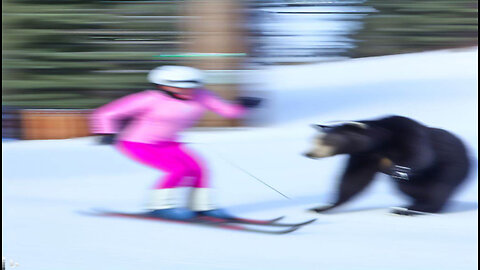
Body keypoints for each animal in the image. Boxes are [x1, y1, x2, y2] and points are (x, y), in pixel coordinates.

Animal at [306, 115, 470, 215]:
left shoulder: (405, 132)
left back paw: (414, 209)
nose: (309, 153)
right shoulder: (364, 157)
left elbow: (421, 155)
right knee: (411, 188)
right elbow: (352, 181)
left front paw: (399, 169)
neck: (380, 144)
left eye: (326, 141)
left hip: (451, 166)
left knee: (439, 187)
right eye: (314, 140)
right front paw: (323, 207)